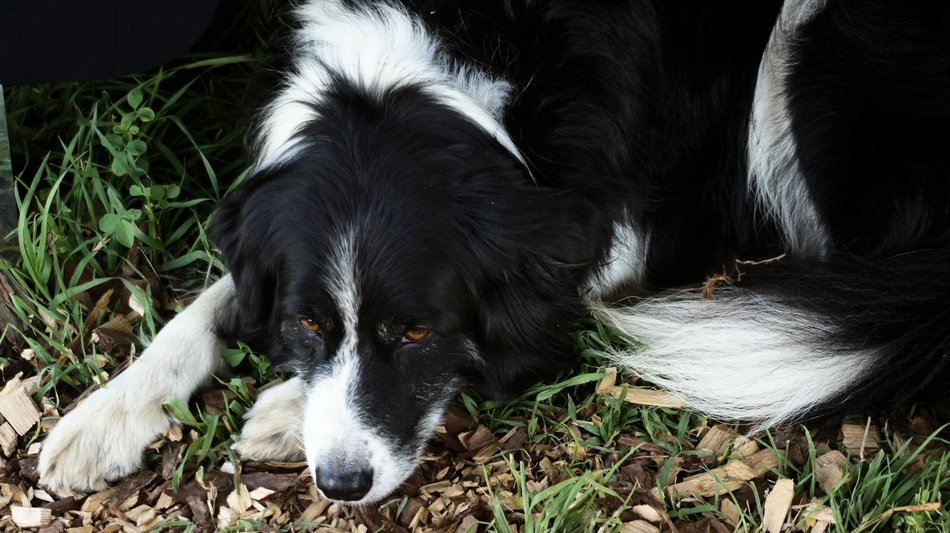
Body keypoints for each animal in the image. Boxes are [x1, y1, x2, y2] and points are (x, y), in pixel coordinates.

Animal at [39, 0, 950, 502]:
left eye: (416, 332)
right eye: (306, 324)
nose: (340, 484)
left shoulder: (635, 214)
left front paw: (281, 410)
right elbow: (211, 300)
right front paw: (104, 415)